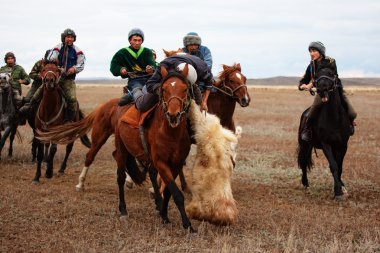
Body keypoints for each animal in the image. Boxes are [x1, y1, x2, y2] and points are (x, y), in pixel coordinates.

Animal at [112, 63, 196, 231]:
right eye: (164, 89)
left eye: (185, 89)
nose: (173, 115)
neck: (170, 133)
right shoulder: (161, 162)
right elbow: (177, 193)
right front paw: (187, 224)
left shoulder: (176, 164)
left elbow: (169, 191)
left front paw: (164, 214)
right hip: (122, 148)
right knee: (121, 177)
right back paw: (123, 209)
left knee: (150, 173)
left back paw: (158, 203)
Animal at [296, 67, 352, 200]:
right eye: (316, 76)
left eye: (332, 74)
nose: (322, 89)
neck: (334, 119)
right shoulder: (326, 144)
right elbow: (333, 165)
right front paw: (338, 192)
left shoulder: (343, 145)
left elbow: (340, 166)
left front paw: (342, 187)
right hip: (304, 144)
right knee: (304, 162)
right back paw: (305, 184)